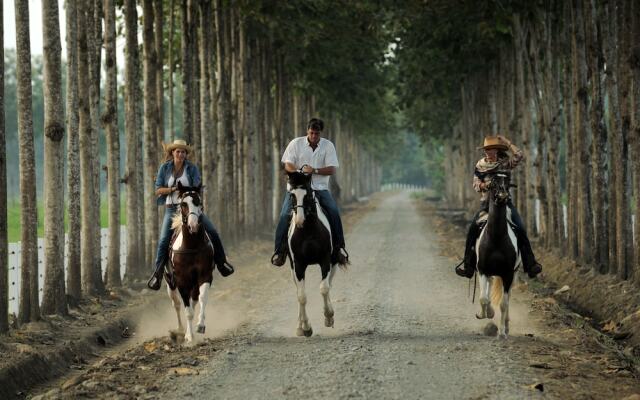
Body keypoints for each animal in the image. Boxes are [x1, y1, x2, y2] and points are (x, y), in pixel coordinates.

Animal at [166, 183, 214, 342]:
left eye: (199, 202)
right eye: (183, 204)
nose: (193, 225)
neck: (191, 246)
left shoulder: (205, 275)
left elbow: (202, 298)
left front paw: (200, 325)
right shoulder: (181, 281)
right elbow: (187, 310)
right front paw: (189, 336)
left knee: (194, 299)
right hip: (170, 282)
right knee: (176, 304)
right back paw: (180, 330)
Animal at [286, 172, 344, 338]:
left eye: (308, 193)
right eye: (292, 195)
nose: (299, 221)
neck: (308, 231)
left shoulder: (325, 260)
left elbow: (324, 288)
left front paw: (329, 317)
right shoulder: (298, 265)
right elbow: (301, 296)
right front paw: (305, 327)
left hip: (333, 262)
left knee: (328, 284)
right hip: (293, 269)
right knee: (298, 292)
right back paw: (299, 326)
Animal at [476, 172, 520, 338]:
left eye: (507, 183)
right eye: (493, 182)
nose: (502, 195)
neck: (496, 238)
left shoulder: (508, 274)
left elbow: (503, 304)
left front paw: (501, 333)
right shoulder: (482, 270)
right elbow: (483, 298)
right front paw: (486, 313)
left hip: (513, 274)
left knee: (508, 297)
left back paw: (506, 326)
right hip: (489, 273)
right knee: (487, 291)